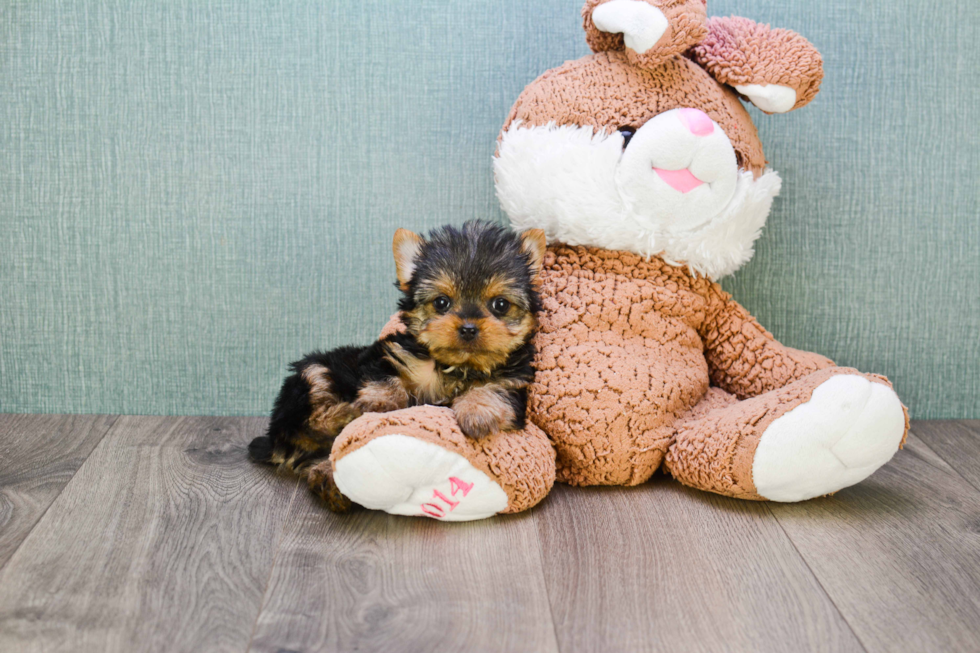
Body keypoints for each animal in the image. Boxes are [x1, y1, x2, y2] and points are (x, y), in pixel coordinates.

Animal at [249, 222, 548, 512]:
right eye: (442, 302)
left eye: (500, 304)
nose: (468, 328)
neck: (456, 366)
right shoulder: (388, 353)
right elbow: (384, 376)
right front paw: (381, 402)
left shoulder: (513, 380)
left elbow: (493, 389)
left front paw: (478, 412)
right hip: (313, 372)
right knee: (310, 419)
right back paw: (345, 413)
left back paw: (329, 478)